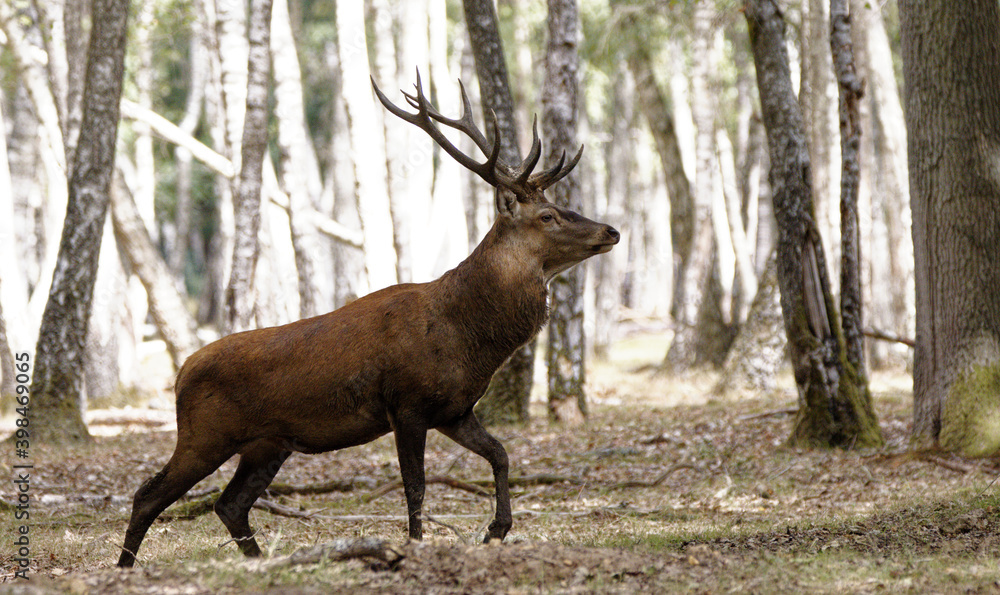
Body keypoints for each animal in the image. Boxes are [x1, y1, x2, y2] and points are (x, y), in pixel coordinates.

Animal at [117, 73, 619, 568]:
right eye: (548, 215)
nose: (611, 230)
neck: (469, 338)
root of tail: (180, 372)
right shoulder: (407, 403)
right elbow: (415, 485)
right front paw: (415, 547)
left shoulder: (455, 410)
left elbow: (501, 454)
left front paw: (496, 529)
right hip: (204, 435)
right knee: (148, 495)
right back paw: (125, 567)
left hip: (268, 443)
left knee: (230, 504)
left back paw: (258, 561)